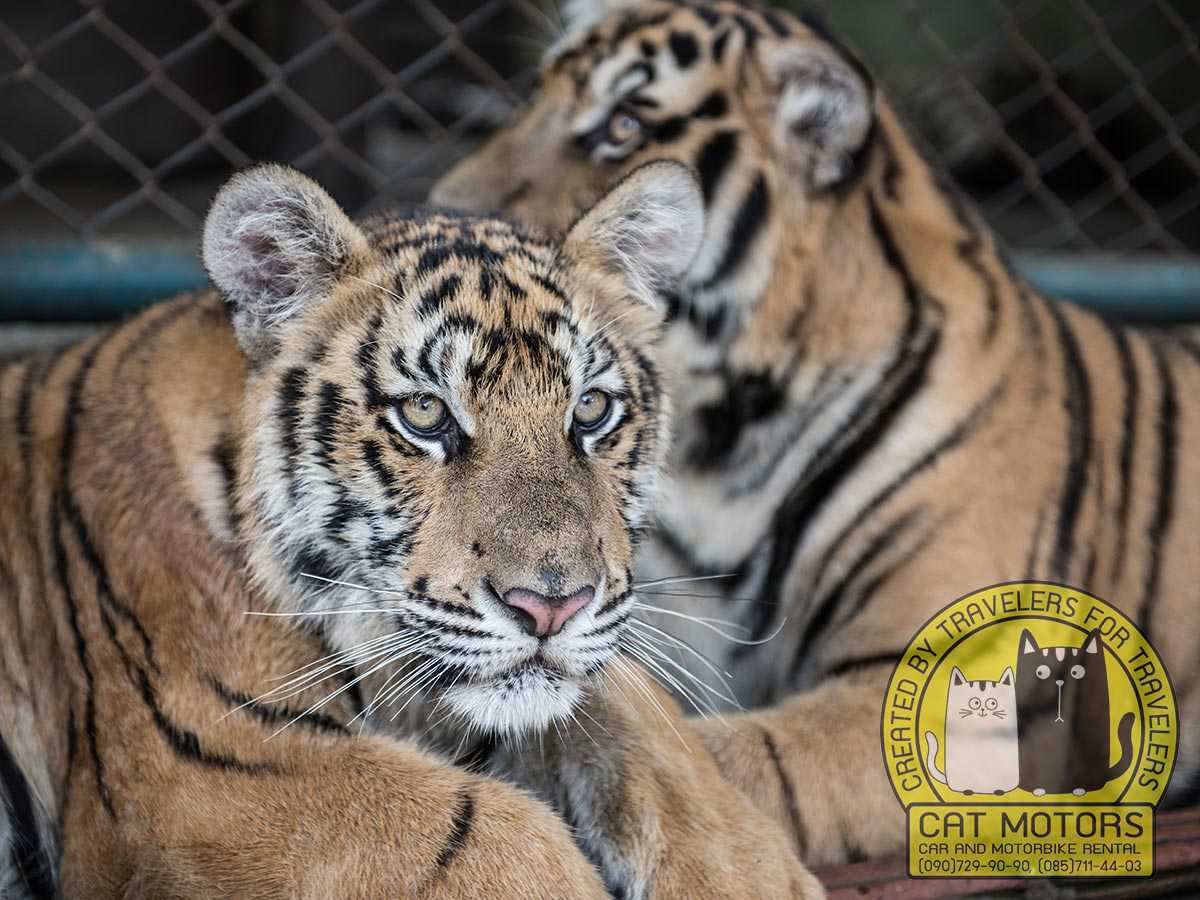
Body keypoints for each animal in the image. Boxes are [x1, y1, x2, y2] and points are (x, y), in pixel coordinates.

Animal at [0, 164, 820, 900]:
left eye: (590, 410)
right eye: (425, 414)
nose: (550, 607)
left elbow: (631, 708)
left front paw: (746, 870)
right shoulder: (203, 771)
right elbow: (487, 835)